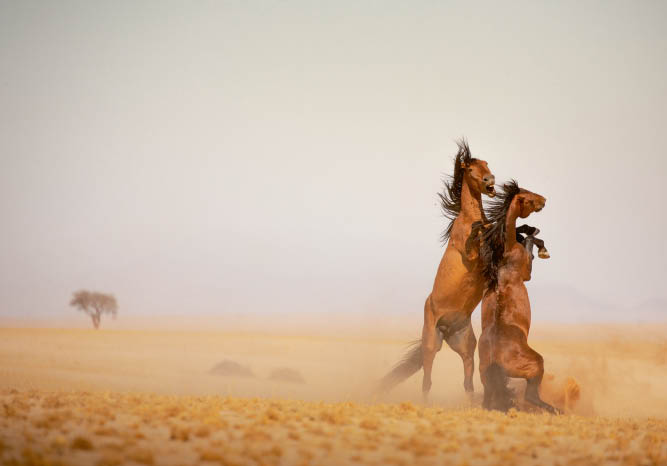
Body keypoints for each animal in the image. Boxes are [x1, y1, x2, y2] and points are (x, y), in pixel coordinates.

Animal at [380, 139, 496, 400]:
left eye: (487, 164)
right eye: (470, 169)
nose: (490, 180)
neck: (467, 218)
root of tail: (445, 328)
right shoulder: (470, 255)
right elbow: (476, 238)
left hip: (466, 347)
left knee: (468, 383)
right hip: (431, 344)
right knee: (427, 381)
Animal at [478, 181, 560, 416]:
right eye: (528, 197)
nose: (544, 200)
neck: (504, 253)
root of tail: (495, 359)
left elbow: (524, 234)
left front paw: (527, 229)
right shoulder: (527, 273)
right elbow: (531, 241)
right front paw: (542, 248)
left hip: (485, 380)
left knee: (487, 402)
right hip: (535, 365)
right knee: (531, 395)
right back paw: (556, 411)